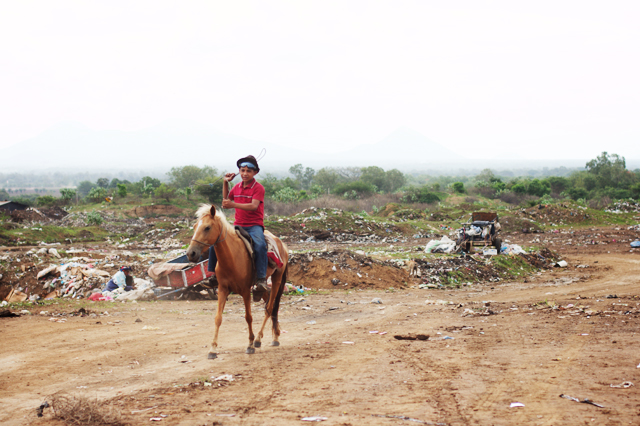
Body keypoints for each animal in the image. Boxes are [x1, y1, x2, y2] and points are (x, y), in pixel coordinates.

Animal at [184, 205, 286, 358]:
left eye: (207, 227)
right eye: (195, 226)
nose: (191, 253)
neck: (232, 257)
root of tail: (281, 244)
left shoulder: (245, 291)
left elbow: (248, 317)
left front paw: (250, 344)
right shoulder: (222, 289)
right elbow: (218, 318)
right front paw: (212, 349)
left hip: (277, 279)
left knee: (269, 308)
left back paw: (258, 339)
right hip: (261, 289)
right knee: (270, 304)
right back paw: (274, 337)